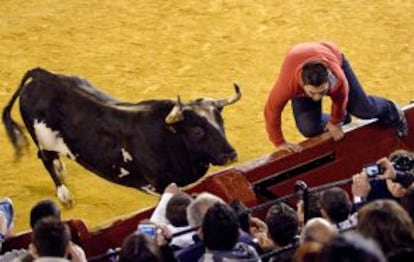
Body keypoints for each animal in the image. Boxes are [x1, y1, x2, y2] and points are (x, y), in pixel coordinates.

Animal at [1, 68, 241, 207]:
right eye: (197, 130)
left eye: (221, 121)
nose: (230, 154)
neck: (170, 137)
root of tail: (41, 76)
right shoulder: (160, 185)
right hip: (43, 140)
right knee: (45, 159)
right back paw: (64, 194)